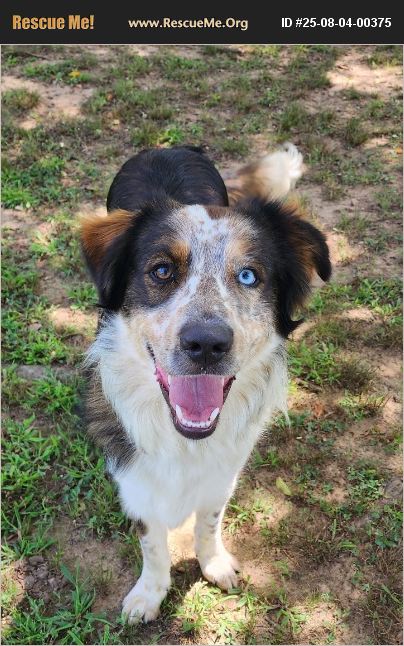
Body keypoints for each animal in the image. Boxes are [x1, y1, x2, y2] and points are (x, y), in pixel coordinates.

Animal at [80, 143, 331, 624]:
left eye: (249, 275)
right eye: (161, 271)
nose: (207, 344)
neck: (185, 441)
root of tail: (168, 146)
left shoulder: (224, 470)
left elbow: (208, 522)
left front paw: (214, 564)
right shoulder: (133, 477)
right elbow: (152, 543)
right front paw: (149, 594)